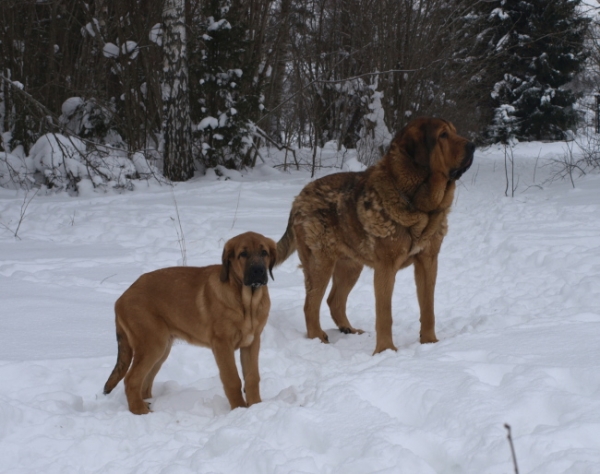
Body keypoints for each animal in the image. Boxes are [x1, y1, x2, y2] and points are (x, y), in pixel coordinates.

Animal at [104, 231, 278, 412]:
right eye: (243, 254)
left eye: (264, 253)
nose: (258, 271)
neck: (247, 302)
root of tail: (121, 299)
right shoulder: (222, 344)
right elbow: (232, 379)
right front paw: (239, 410)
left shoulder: (252, 342)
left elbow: (252, 377)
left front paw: (256, 406)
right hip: (151, 344)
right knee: (131, 379)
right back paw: (140, 411)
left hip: (161, 348)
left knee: (144, 383)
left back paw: (147, 404)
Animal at [276, 117, 474, 354]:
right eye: (443, 135)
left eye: (454, 132)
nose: (473, 145)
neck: (418, 203)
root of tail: (299, 198)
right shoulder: (386, 267)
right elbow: (384, 314)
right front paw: (386, 350)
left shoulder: (428, 261)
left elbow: (428, 308)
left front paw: (430, 343)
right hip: (320, 262)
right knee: (310, 305)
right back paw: (318, 340)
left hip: (351, 265)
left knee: (334, 301)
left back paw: (349, 329)